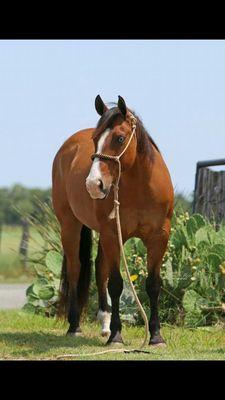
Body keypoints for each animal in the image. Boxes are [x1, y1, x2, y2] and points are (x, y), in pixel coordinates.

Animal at [52, 95, 174, 346]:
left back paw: (104, 323)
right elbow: (116, 284)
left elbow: (153, 284)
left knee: (99, 268)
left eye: (119, 138)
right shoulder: (113, 234)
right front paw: (117, 335)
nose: (93, 184)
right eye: (95, 139)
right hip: (70, 225)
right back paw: (75, 325)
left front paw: (156, 336)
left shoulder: (159, 237)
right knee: (76, 268)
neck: (141, 188)